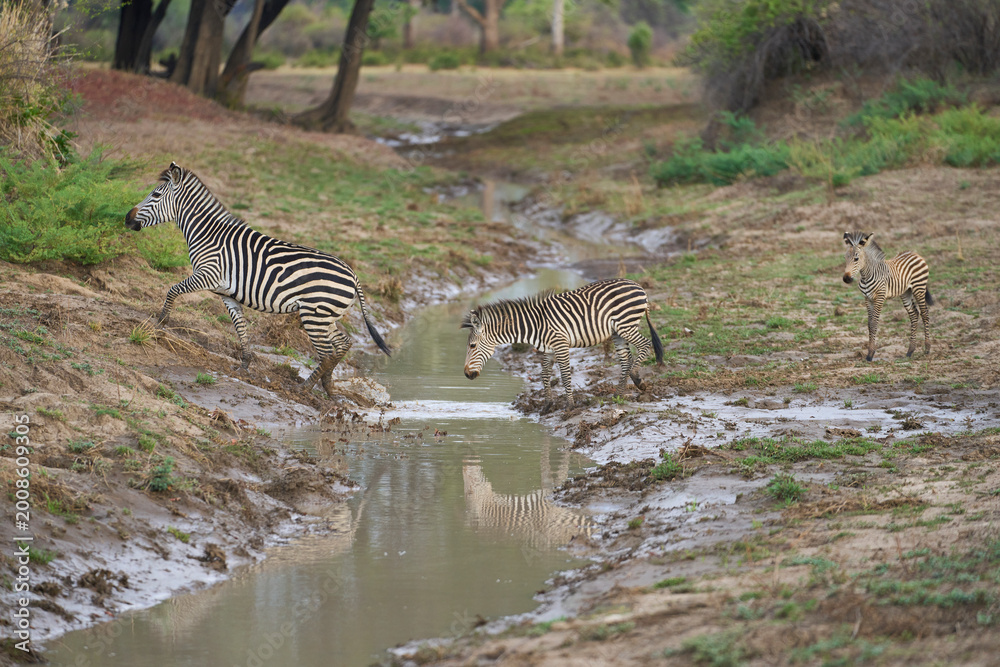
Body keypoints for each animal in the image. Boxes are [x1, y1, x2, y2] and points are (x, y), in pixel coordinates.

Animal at [124, 162, 391, 397]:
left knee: (327, 353)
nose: (127, 218)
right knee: (343, 344)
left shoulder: (208, 275)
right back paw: (328, 386)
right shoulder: (226, 293)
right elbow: (241, 328)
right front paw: (244, 365)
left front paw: (161, 322)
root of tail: (353, 274)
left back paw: (304, 388)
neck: (208, 235)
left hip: (315, 315)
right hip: (327, 317)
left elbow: (172, 289)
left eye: (155, 194)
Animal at [462, 278, 664, 402]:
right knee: (625, 360)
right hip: (617, 332)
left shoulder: (560, 345)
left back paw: (637, 378)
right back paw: (619, 395)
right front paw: (548, 405)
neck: (535, 325)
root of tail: (638, 286)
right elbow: (544, 375)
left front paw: (570, 405)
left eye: (472, 345)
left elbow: (565, 376)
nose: (466, 375)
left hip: (626, 325)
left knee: (645, 344)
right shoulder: (548, 349)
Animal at [842, 231, 932, 362]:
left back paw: (927, 348)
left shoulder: (879, 297)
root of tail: (914, 253)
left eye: (856, 258)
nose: (846, 279)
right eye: (845, 258)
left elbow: (874, 323)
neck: (866, 275)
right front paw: (869, 352)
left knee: (925, 313)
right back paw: (910, 351)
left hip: (919, 288)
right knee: (914, 314)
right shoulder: (867, 299)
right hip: (906, 292)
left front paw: (870, 354)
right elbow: (869, 324)